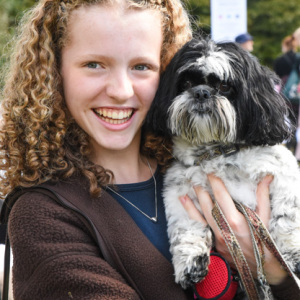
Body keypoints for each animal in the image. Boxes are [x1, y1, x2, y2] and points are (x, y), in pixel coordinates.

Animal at [146, 37, 300, 292]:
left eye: (225, 86)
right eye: (186, 82)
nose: (201, 92)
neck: (215, 152)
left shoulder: (285, 175)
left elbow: (288, 217)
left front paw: (293, 254)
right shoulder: (179, 193)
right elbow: (186, 227)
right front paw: (191, 261)